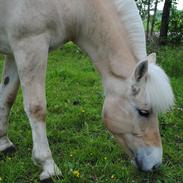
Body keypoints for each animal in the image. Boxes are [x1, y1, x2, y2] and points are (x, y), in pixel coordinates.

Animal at [0, 0, 174, 182]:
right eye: (143, 112)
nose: (156, 164)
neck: (75, 7)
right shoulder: (29, 45)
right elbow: (36, 108)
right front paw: (48, 165)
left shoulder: (14, 52)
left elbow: (7, 97)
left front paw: (4, 144)